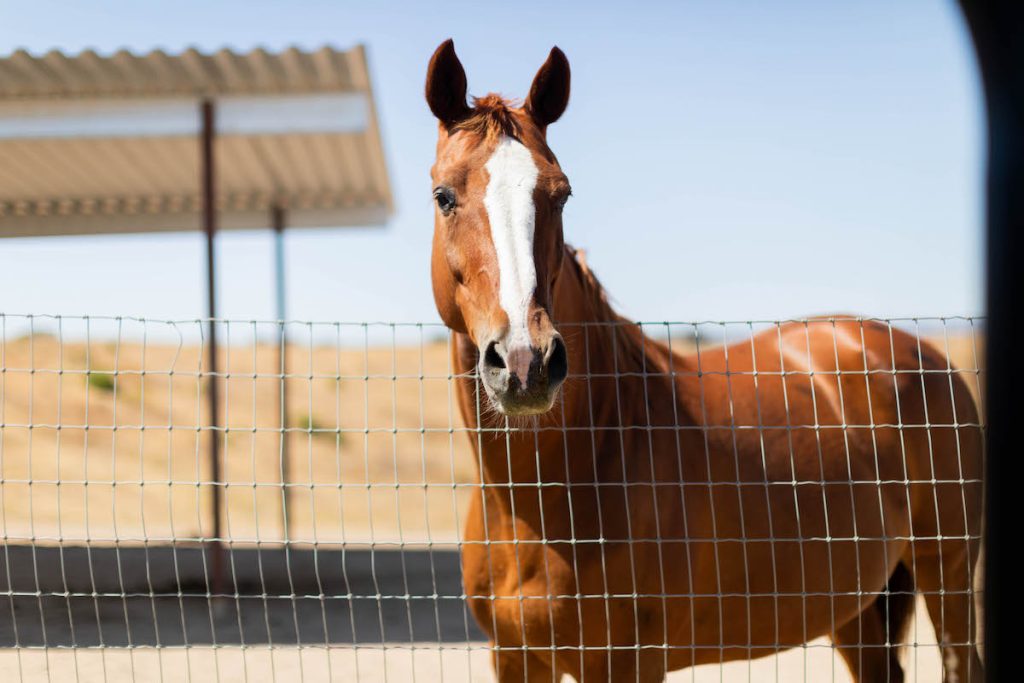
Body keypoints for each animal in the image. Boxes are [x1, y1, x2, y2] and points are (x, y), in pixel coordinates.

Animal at [423, 40, 983, 679]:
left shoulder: (628, 662)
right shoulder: (514, 657)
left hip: (947, 572)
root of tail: (921, 357)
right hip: (855, 606)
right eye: (444, 196)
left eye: (560, 193)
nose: (525, 364)